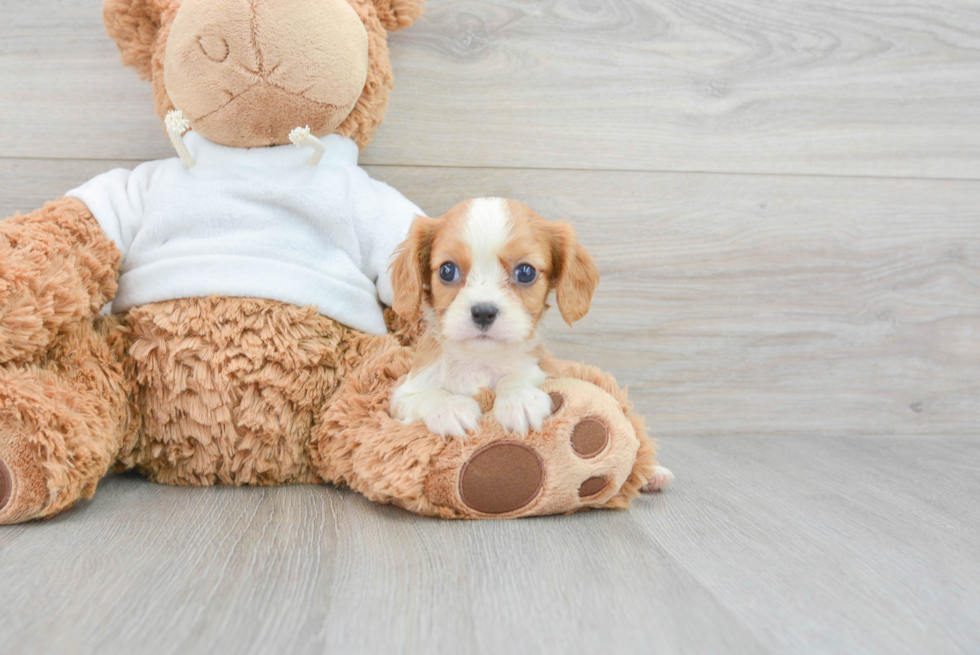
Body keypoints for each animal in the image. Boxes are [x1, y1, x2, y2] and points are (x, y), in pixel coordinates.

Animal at [388, 197, 596, 438]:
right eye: (447, 270)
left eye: (526, 273)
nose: (483, 312)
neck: (479, 361)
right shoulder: (401, 394)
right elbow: (428, 395)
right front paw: (449, 407)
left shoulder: (544, 372)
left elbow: (515, 376)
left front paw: (519, 398)